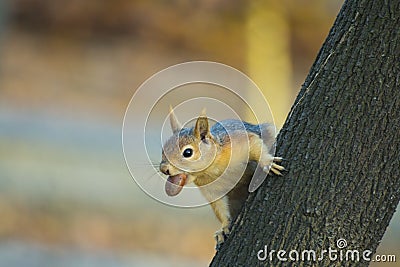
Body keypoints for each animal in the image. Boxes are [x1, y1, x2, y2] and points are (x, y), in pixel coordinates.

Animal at [159, 107, 284, 249]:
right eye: (163, 150)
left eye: (188, 152)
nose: (163, 169)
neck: (212, 170)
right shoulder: (211, 190)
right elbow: (219, 207)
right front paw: (223, 228)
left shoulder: (237, 142)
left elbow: (254, 144)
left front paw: (267, 162)